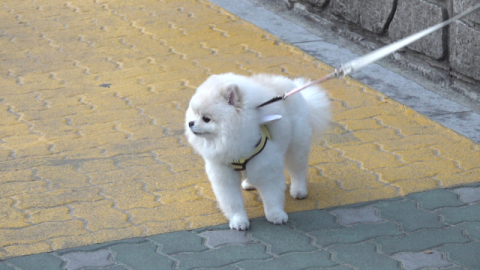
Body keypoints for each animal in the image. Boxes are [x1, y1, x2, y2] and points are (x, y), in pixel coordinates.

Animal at [185, 73, 330, 230]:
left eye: (206, 119)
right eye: (194, 114)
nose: (190, 123)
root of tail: (295, 88)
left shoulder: (266, 166)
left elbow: (272, 195)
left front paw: (276, 215)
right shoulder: (224, 173)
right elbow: (232, 201)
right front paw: (239, 221)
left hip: (296, 145)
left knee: (298, 170)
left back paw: (299, 190)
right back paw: (249, 183)